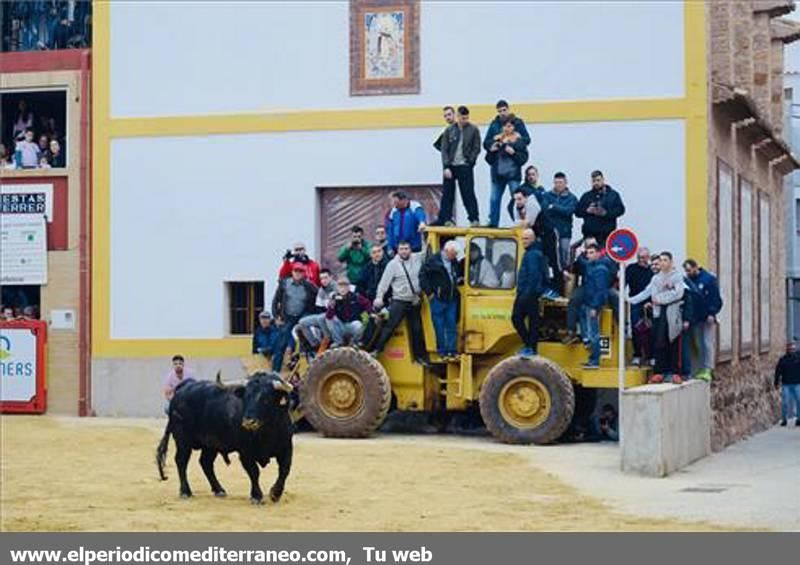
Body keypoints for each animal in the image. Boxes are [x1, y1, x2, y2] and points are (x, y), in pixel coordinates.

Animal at [156, 372, 294, 500]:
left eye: (266, 399)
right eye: (246, 398)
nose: (248, 422)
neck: (266, 432)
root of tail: (184, 388)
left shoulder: (286, 448)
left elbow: (284, 470)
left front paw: (275, 493)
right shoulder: (245, 452)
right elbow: (254, 471)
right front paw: (256, 496)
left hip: (210, 445)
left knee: (205, 463)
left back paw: (219, 490)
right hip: (183, 440)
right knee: (181, 461)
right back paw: (185, 492)